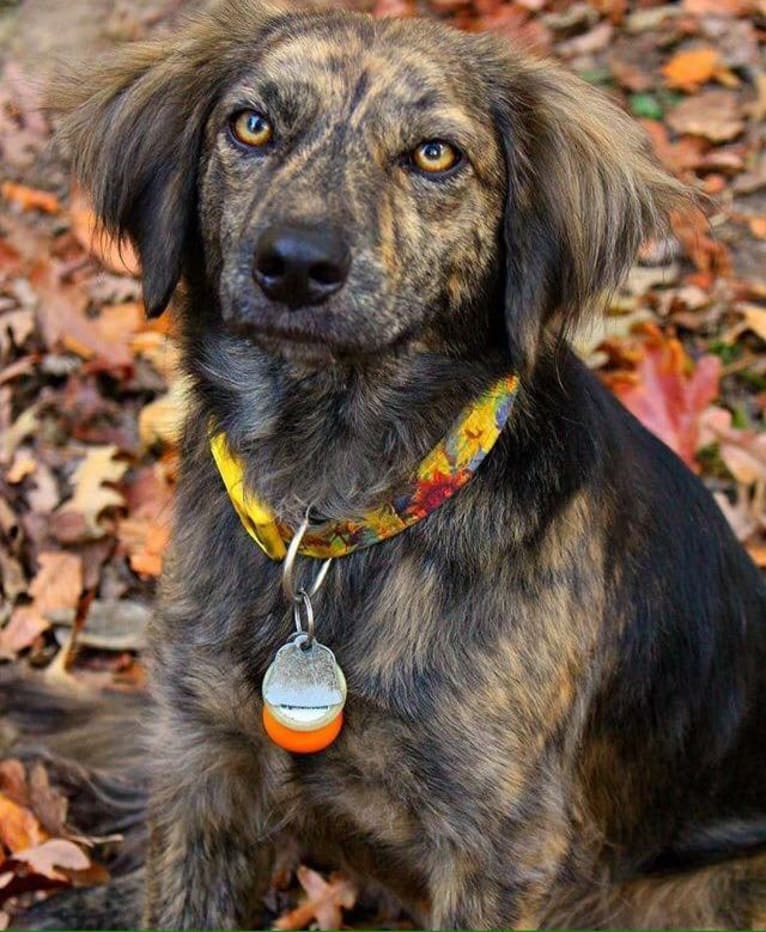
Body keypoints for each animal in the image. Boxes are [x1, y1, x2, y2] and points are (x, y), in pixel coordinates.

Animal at [22, 1, 766, 924]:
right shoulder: (200, 762)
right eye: (252, 125)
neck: (331, 503)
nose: (296, 264)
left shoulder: (497, 853)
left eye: (435, 154)